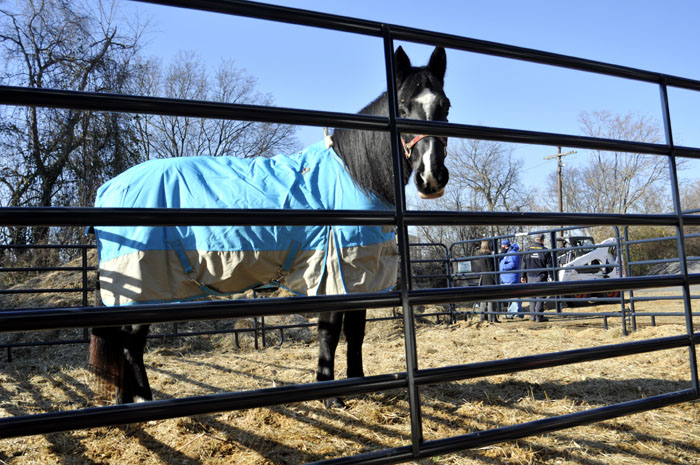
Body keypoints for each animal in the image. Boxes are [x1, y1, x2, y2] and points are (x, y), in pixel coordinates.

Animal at [89, 46, 450, 407]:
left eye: (444, 106)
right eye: (402, 107)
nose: (431, 176)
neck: (356, 176)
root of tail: (109, 189)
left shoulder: (360, 276)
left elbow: (355, 333)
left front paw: (357, 383)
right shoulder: (334, 275)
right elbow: (331, 334)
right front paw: (331, 396)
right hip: (144, 289)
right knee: (131, 344)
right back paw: (144, 401)